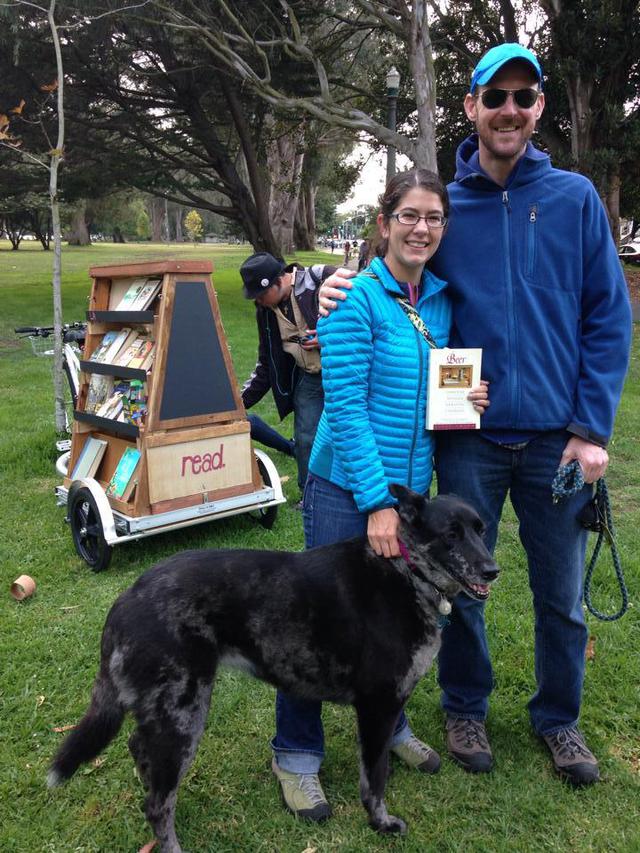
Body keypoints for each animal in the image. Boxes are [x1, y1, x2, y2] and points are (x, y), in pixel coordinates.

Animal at [51, 486, 500, 852]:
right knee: (158, 803)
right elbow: (375, 779)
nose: (492, 570)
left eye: (480, 529)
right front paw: (381, 823)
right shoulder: (377, 708)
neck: (406, 571)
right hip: (184, 714)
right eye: (451, 534)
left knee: (140, 752)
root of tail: (128, 597)